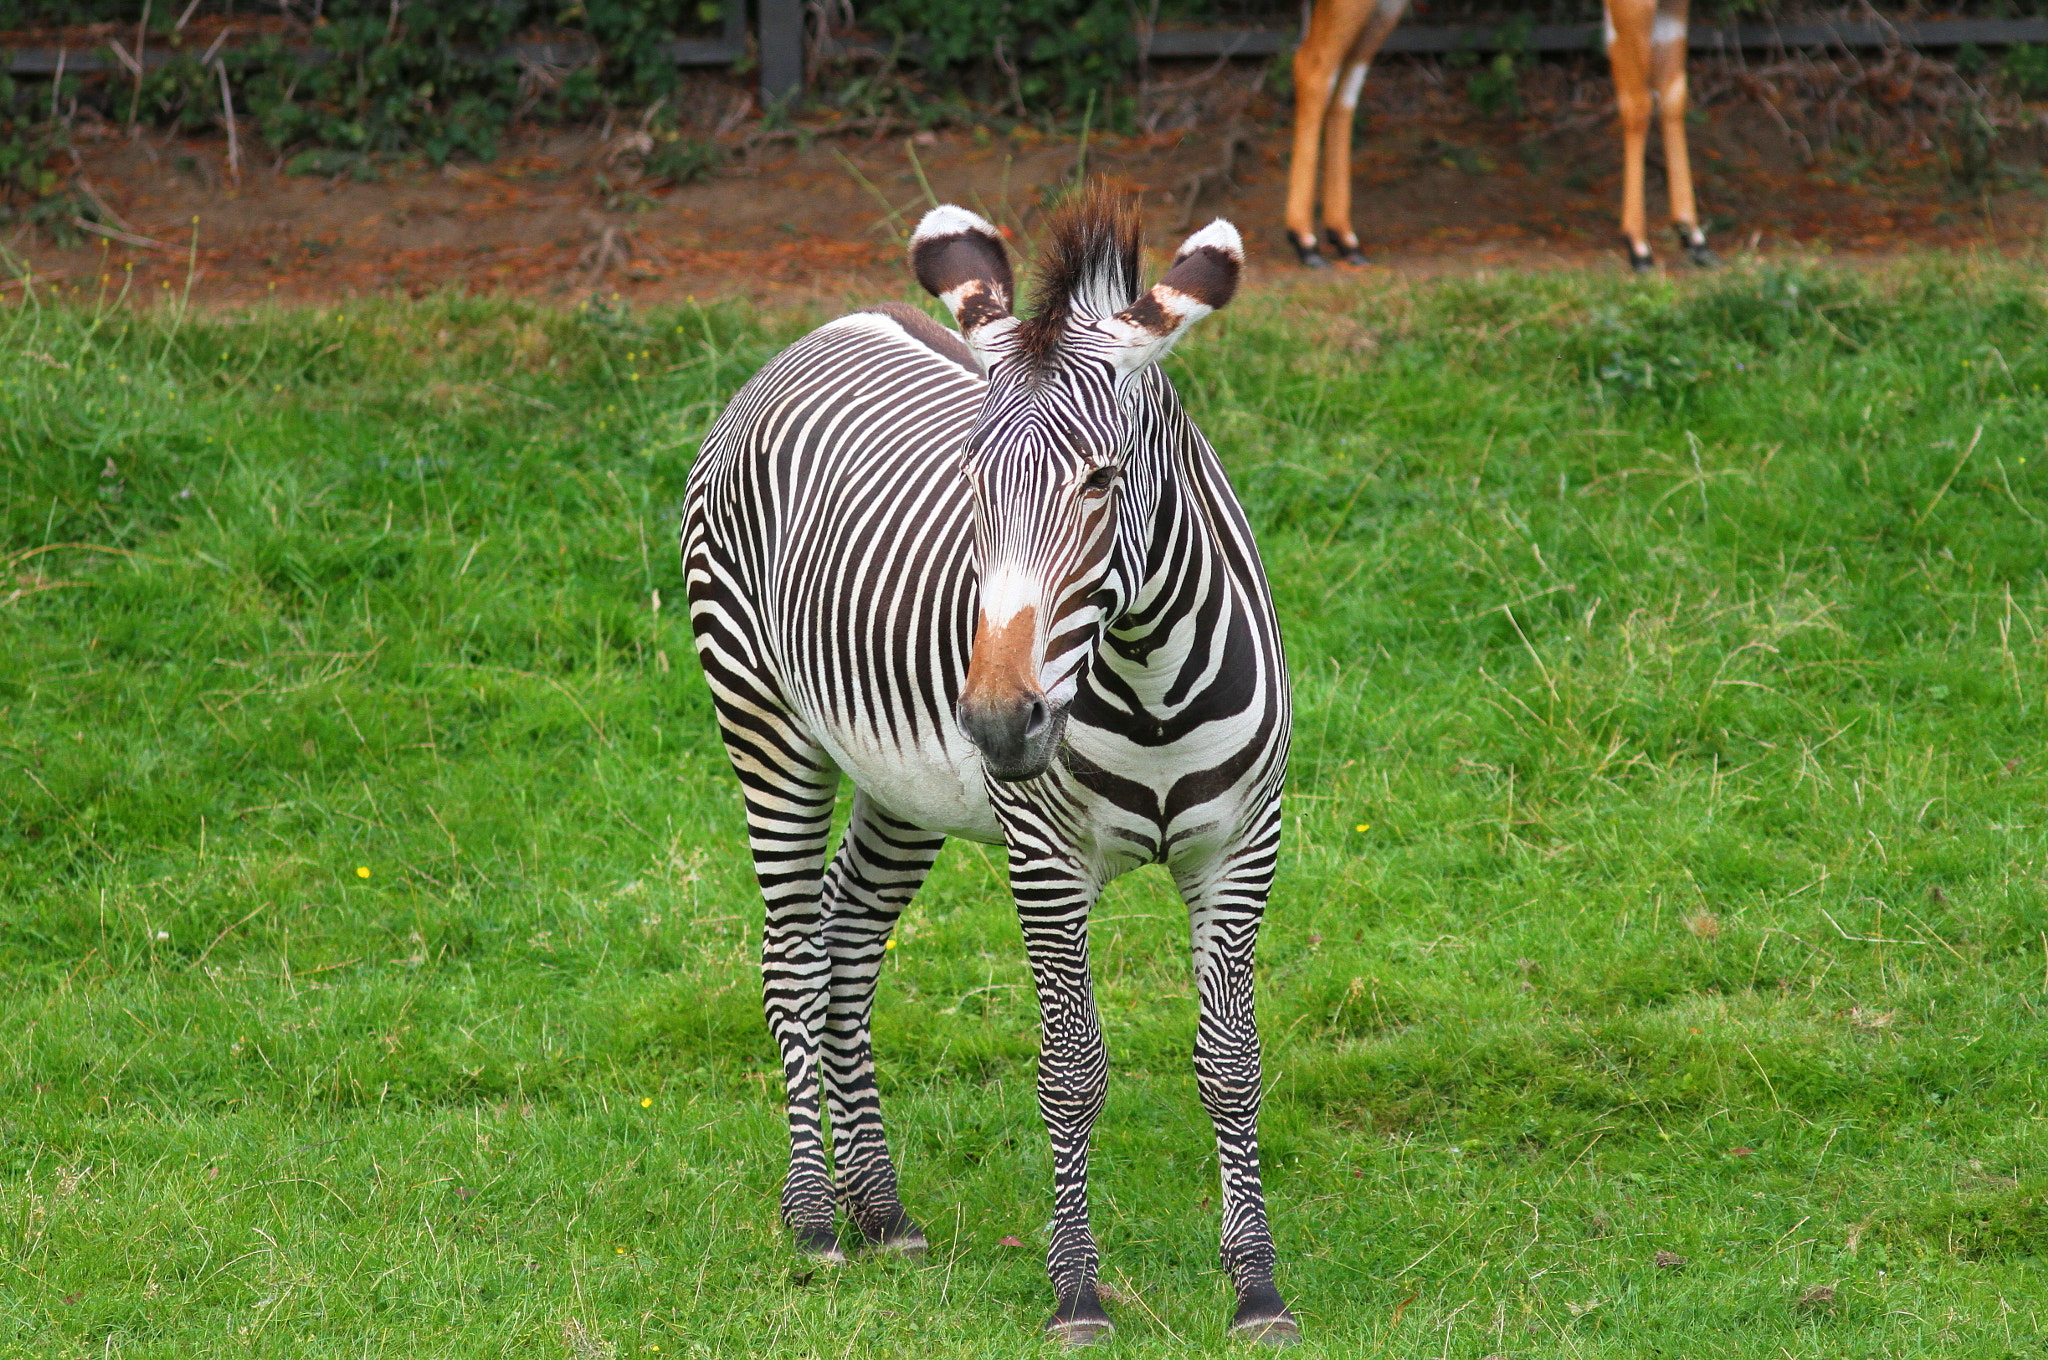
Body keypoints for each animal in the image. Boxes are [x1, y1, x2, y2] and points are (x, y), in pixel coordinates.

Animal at [681, 186, 1296, 1345]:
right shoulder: (1046, 861)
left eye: (1100, 482)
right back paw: (814, 1217)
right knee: (790, 952)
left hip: (902, 785)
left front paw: (1256, 1288)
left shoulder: (1241, 849)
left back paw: (879, 1209)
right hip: (764, 721)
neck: (1150, 675)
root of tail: (828, 325)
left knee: (845, 941)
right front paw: (1076, 1293)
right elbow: (1071, 1070)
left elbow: (1230, 1064)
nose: (1001, 723)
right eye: (969, 484)